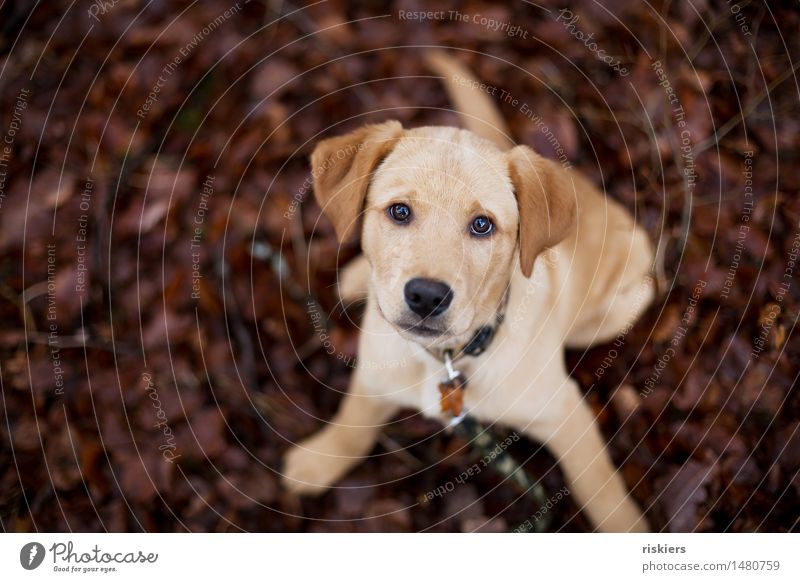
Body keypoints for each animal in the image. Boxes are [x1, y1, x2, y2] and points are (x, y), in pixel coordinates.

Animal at [284, 52, 652, 532]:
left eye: (482, 225)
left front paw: (627, 525)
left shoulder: (566, 412)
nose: (426, 296)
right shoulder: (375, 373)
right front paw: (318, 462)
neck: (445, 359)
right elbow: (352, 423)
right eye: (399, 212)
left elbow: (601, 486)